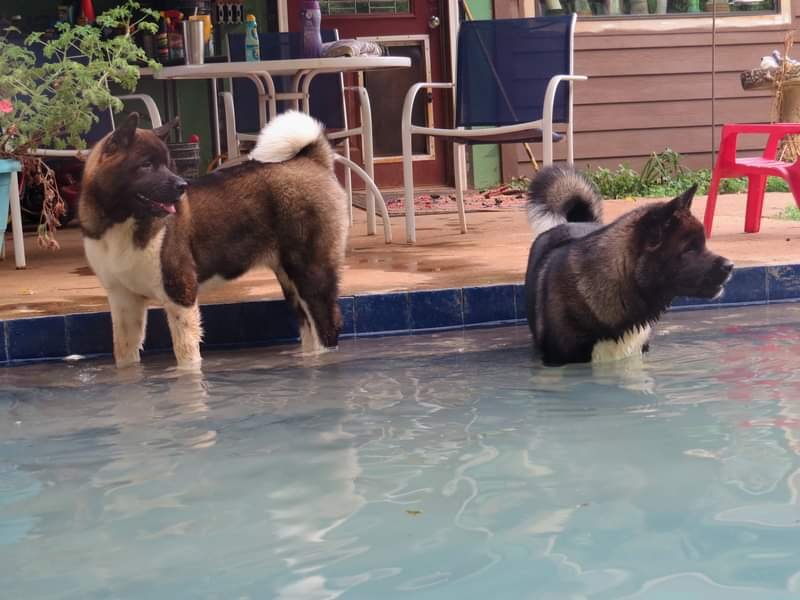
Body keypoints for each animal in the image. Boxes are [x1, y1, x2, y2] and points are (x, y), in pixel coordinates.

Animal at [80, 110, 348, 369]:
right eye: (146, 165)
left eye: (169, 164)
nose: (182, 186)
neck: (120, 220)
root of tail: (311, 160)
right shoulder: (124, 302)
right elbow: (123, 352)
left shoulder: (180, 294)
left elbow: (186, 354)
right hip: (290, 280)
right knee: (308, 327)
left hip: (312, 273)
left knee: (327, 323)